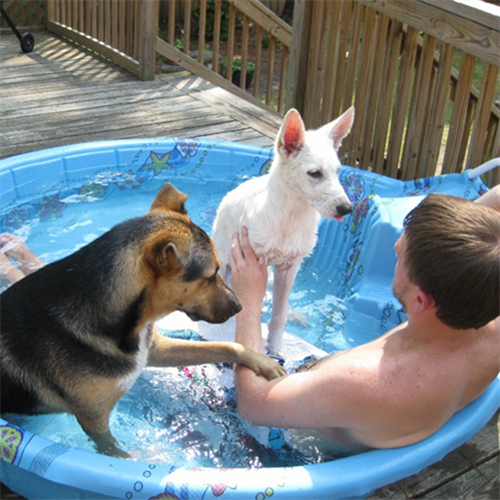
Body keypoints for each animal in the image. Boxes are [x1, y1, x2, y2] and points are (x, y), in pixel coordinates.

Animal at [0, 183, 286, 458]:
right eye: (209, 276)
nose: (240, 306)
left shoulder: (152, 350)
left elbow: (224, 346)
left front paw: (263, 363)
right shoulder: (94, 420)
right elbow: (112, 452)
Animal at [211, 107, 356, 354]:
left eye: (337, 171)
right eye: (315, 173)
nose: (346, 209)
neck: (291, 216)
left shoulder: (290, 266)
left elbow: (279, 313)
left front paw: (276, 347)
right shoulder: (253, 263)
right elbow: (251, 304)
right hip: (223, 262)